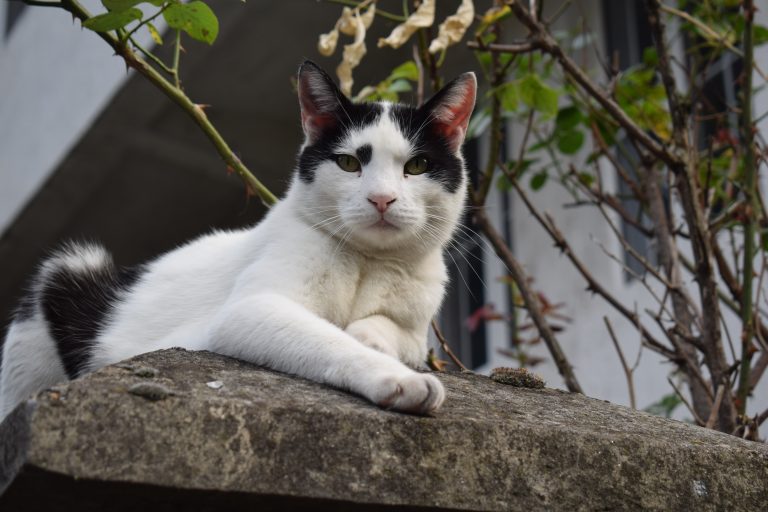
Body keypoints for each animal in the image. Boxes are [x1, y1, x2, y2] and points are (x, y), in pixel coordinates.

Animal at [0, 60, 476, 420]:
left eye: (416, 166)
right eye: (348, 163)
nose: (381, 198)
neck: (367, 262)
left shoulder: (416, 328)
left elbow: (392, 332)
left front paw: (370, 336)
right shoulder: (250, 311)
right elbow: (330, 339)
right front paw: (401, 379)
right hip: (66, 273)